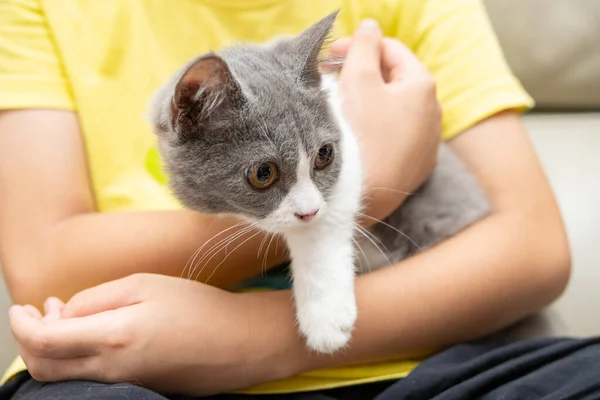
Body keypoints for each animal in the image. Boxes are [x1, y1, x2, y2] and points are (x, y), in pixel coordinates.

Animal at [148, 10, 490, 354]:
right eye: (263, 173)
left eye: (324, 154)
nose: (309, 211)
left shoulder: (348, 147)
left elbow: (325, 224)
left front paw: (325, 315)